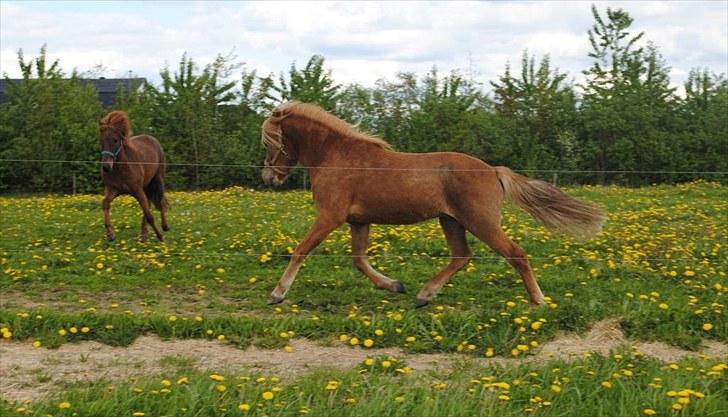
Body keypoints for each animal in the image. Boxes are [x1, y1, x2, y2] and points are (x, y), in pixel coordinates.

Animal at [99, 110, 168, 242]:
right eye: (102, 141)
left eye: (115, 140)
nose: (106, 167)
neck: (121, 169)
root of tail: (152, 139)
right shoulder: (114, 189)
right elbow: (105, 203)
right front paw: (110, 234)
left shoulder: (137, 190)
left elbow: (149, 215)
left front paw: (160, 237)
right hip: (146, 185)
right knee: (150, 203)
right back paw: (144, 233)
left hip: (158, 179)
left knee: (160, 201)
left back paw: (165, 226)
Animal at [260, 101, 604, 306]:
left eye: (270, 143)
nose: (268, 178)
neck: (338, 157)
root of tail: (494, 170)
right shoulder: (359, 221)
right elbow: (359, 260)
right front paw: (395, 285)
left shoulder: (330, 216)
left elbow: (301, 250)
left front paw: (277, 293)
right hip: (451, 220)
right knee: (462, 256)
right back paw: (425, 295)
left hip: (481, 222)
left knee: (515, 254)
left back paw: (537, 300)